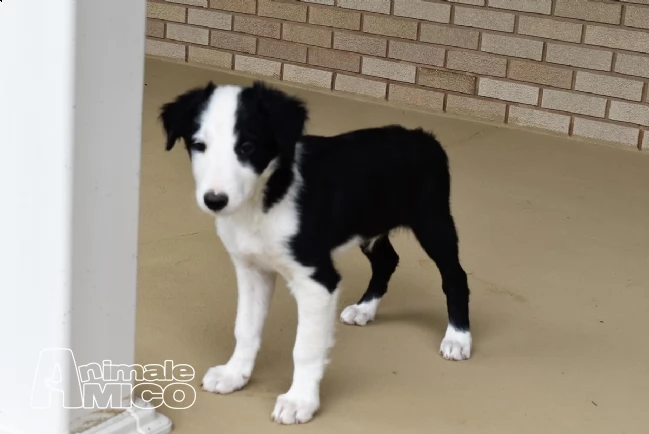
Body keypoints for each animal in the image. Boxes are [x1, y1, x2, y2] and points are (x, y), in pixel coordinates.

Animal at [157, 81, 470, 424]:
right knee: (388, 260)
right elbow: (245, 328)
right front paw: (234, 374)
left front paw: (299, 401)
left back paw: (457, 337)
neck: (265, 198)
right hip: (370, 226)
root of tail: (423, 136)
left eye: (248, 147)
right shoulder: (252, 271)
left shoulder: (316, 280)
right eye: (198, 145)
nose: (215, 200)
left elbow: (305, 349)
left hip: (433, 222)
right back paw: (364, 309)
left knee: (455, 277)